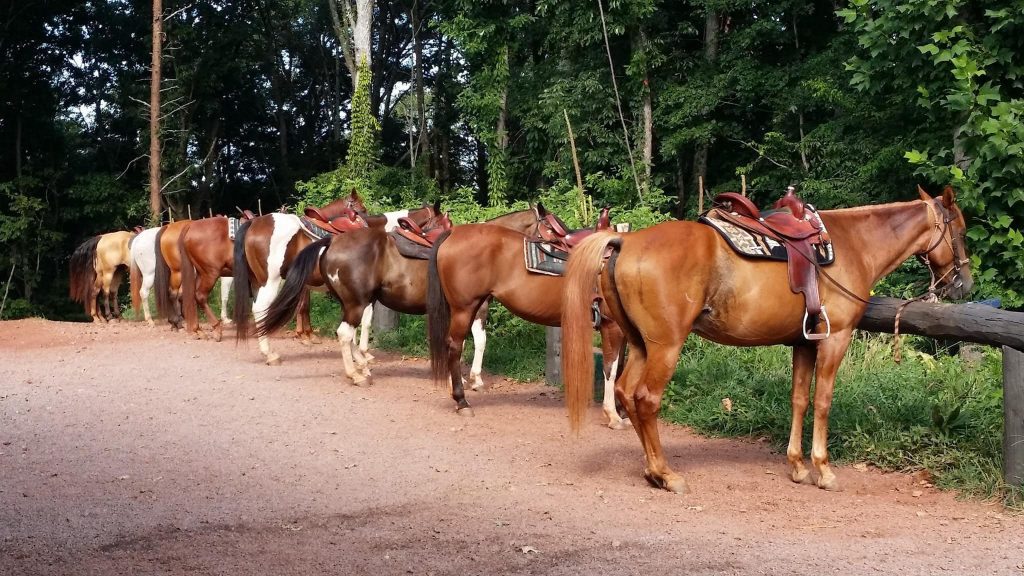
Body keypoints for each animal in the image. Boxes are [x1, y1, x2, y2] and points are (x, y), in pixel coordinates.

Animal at [234, 195, 442, 362]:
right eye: (442, 223)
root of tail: (255, 223)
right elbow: (365, 321)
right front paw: (362, 353)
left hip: (258, 281)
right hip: (270, 281)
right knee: (260, 309)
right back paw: (269, 354)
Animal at [425, 211, 630, 426]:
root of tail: (453, 232)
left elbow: (620, 367)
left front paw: (623, 411)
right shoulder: (611, 325)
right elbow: (611, 368)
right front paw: (613, 415)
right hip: (464, 308)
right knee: (455, 346)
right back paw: (462, 401)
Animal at [565, 186, 970, 491]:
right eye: (962, 232)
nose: (963, 283)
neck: (853, 245)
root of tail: (625, 242)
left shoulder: (804, 342)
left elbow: (799, 400)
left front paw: (798, 466)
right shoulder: (835, 339)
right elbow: (823, 401)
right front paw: (823, 469)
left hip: (638, 343)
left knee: (624, 392)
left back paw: (652, 471)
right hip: (665, 347)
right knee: (645, 399)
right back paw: (666, 473)